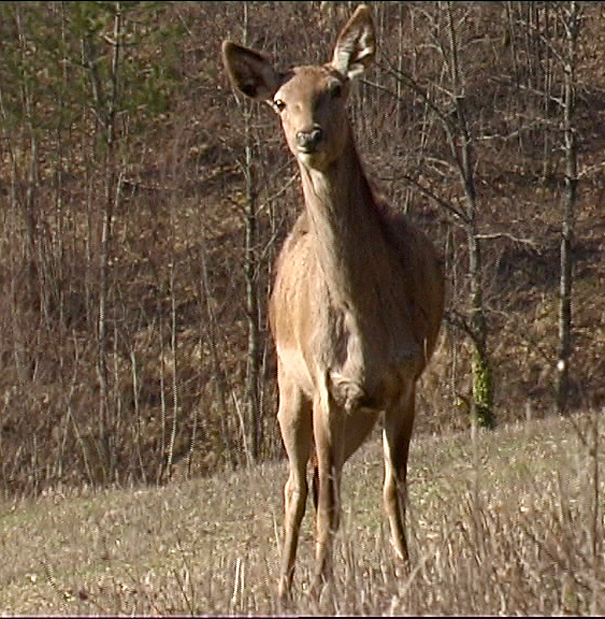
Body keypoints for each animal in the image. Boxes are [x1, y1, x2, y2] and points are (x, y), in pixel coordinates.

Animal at [222, 2, 444, 600]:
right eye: (280, 101)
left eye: (336, 88)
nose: (309, 134)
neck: (365, 322)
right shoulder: (323, 384)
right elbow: (326, 500)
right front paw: (319, 585)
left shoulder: (404, 381)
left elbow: (393, 488)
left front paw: (409, 571)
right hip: (287, 386)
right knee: (299, 485)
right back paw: (283, 586)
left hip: (355, 415)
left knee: (324, 479)